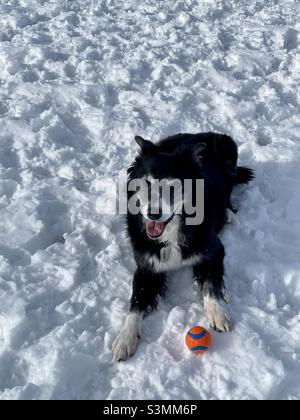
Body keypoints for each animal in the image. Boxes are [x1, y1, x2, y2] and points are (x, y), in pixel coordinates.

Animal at [112, 132, 253, 360]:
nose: (153, 213)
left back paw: (228, 213)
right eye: (147, 183)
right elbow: (136, 300)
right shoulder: (146, 266)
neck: (172, 230)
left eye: (172, 187)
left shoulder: (214, 251)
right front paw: (125, 338)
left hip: (229, 147)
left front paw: (217, 313)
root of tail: (201, 134)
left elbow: (210, 284)